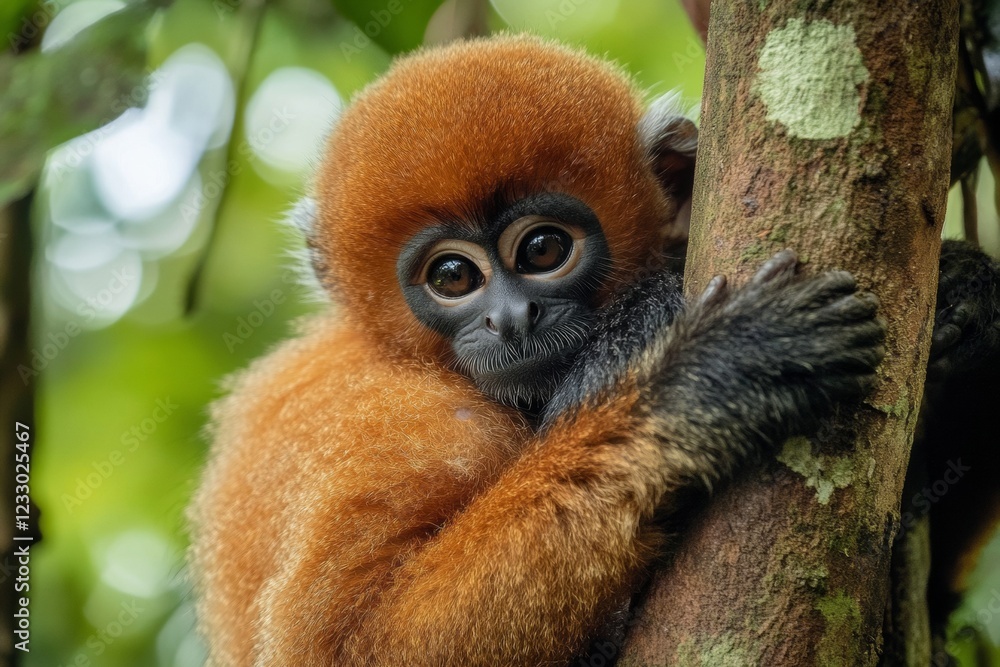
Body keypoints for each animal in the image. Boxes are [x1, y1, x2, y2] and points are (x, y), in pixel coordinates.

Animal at [189, 35, 999, 666]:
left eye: (543, 249)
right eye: (452, 277)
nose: (512, 319)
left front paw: (966, 293)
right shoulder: (401, 424)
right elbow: (352, 644)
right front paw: (712, 380)